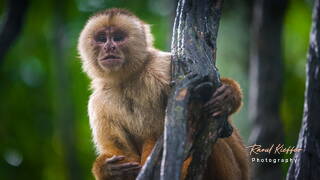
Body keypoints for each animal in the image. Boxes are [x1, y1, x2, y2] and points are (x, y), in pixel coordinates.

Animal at [77, 8, 250, 180]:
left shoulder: (162, 66)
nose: (109, 47)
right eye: (102, 38)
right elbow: (124, 155)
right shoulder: (98, 102)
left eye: (118, 38)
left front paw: (228, 95)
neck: (128, 79)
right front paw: (107, 170)